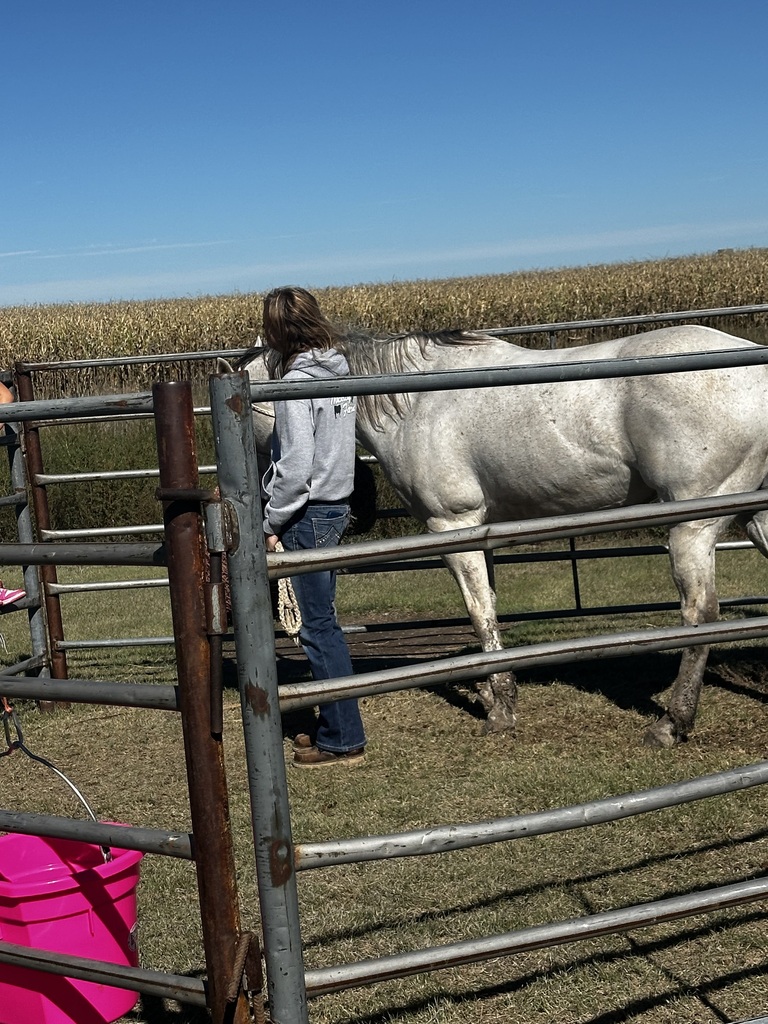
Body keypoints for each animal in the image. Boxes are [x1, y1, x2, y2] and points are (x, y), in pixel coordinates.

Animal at [223, 323, 768, 747]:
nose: (361, 505)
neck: (415, 401)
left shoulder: (453, 526)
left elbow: (479, 611)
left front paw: (501, 708)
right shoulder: (479, 531)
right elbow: (488, 608)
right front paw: (489, 691)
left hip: (693, 525)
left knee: (701, 614)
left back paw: (672, 724)